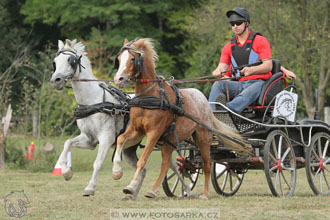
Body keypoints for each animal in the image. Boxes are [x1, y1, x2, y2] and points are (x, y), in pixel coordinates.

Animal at [50, 39, 146, 199]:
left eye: (71, 61)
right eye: (55, 62)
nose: (55, 80)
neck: (93, 102)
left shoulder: (106, 138)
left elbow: (98, 162)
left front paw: (90, 188)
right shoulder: (89, 139)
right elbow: (67, 143)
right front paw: (66, 172)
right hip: (129, 148)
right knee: (142, 169)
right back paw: (132, 193)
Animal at [113, 38, 248, 199]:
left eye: (133, 59)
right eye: (119, 59)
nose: (118, 79)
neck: (150, 96)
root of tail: (205, 101)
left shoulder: (153, 133)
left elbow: (142, 160)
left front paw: (130, 187)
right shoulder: (136, 130)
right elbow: (120, 139)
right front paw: (117, 172)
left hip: (203, 137)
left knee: (207, 164)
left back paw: (205, 193)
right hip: (169, 141)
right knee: (167, 164)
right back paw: (154, 190)